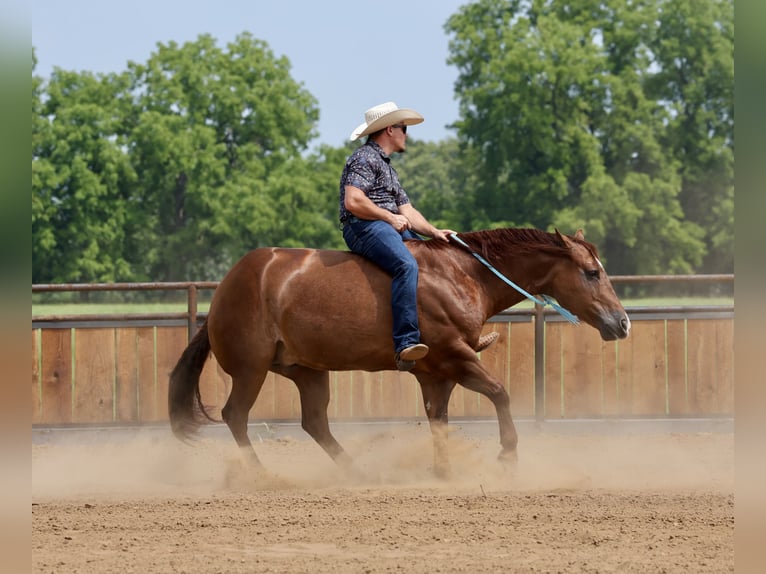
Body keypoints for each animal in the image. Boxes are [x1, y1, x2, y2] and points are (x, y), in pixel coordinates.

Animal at [168, 228, 630, 477]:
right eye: (592, 272)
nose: (622, 322)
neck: (460, 275)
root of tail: (225, 289)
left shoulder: (436, 373)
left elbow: (438, 419)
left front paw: (444, 472)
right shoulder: (455, 357)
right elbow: (500, 393)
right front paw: (507, 456)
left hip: (307, 370)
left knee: (315, 423)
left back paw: (358, 473)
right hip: (252, 368)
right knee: (235, 415)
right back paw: (263, 474)